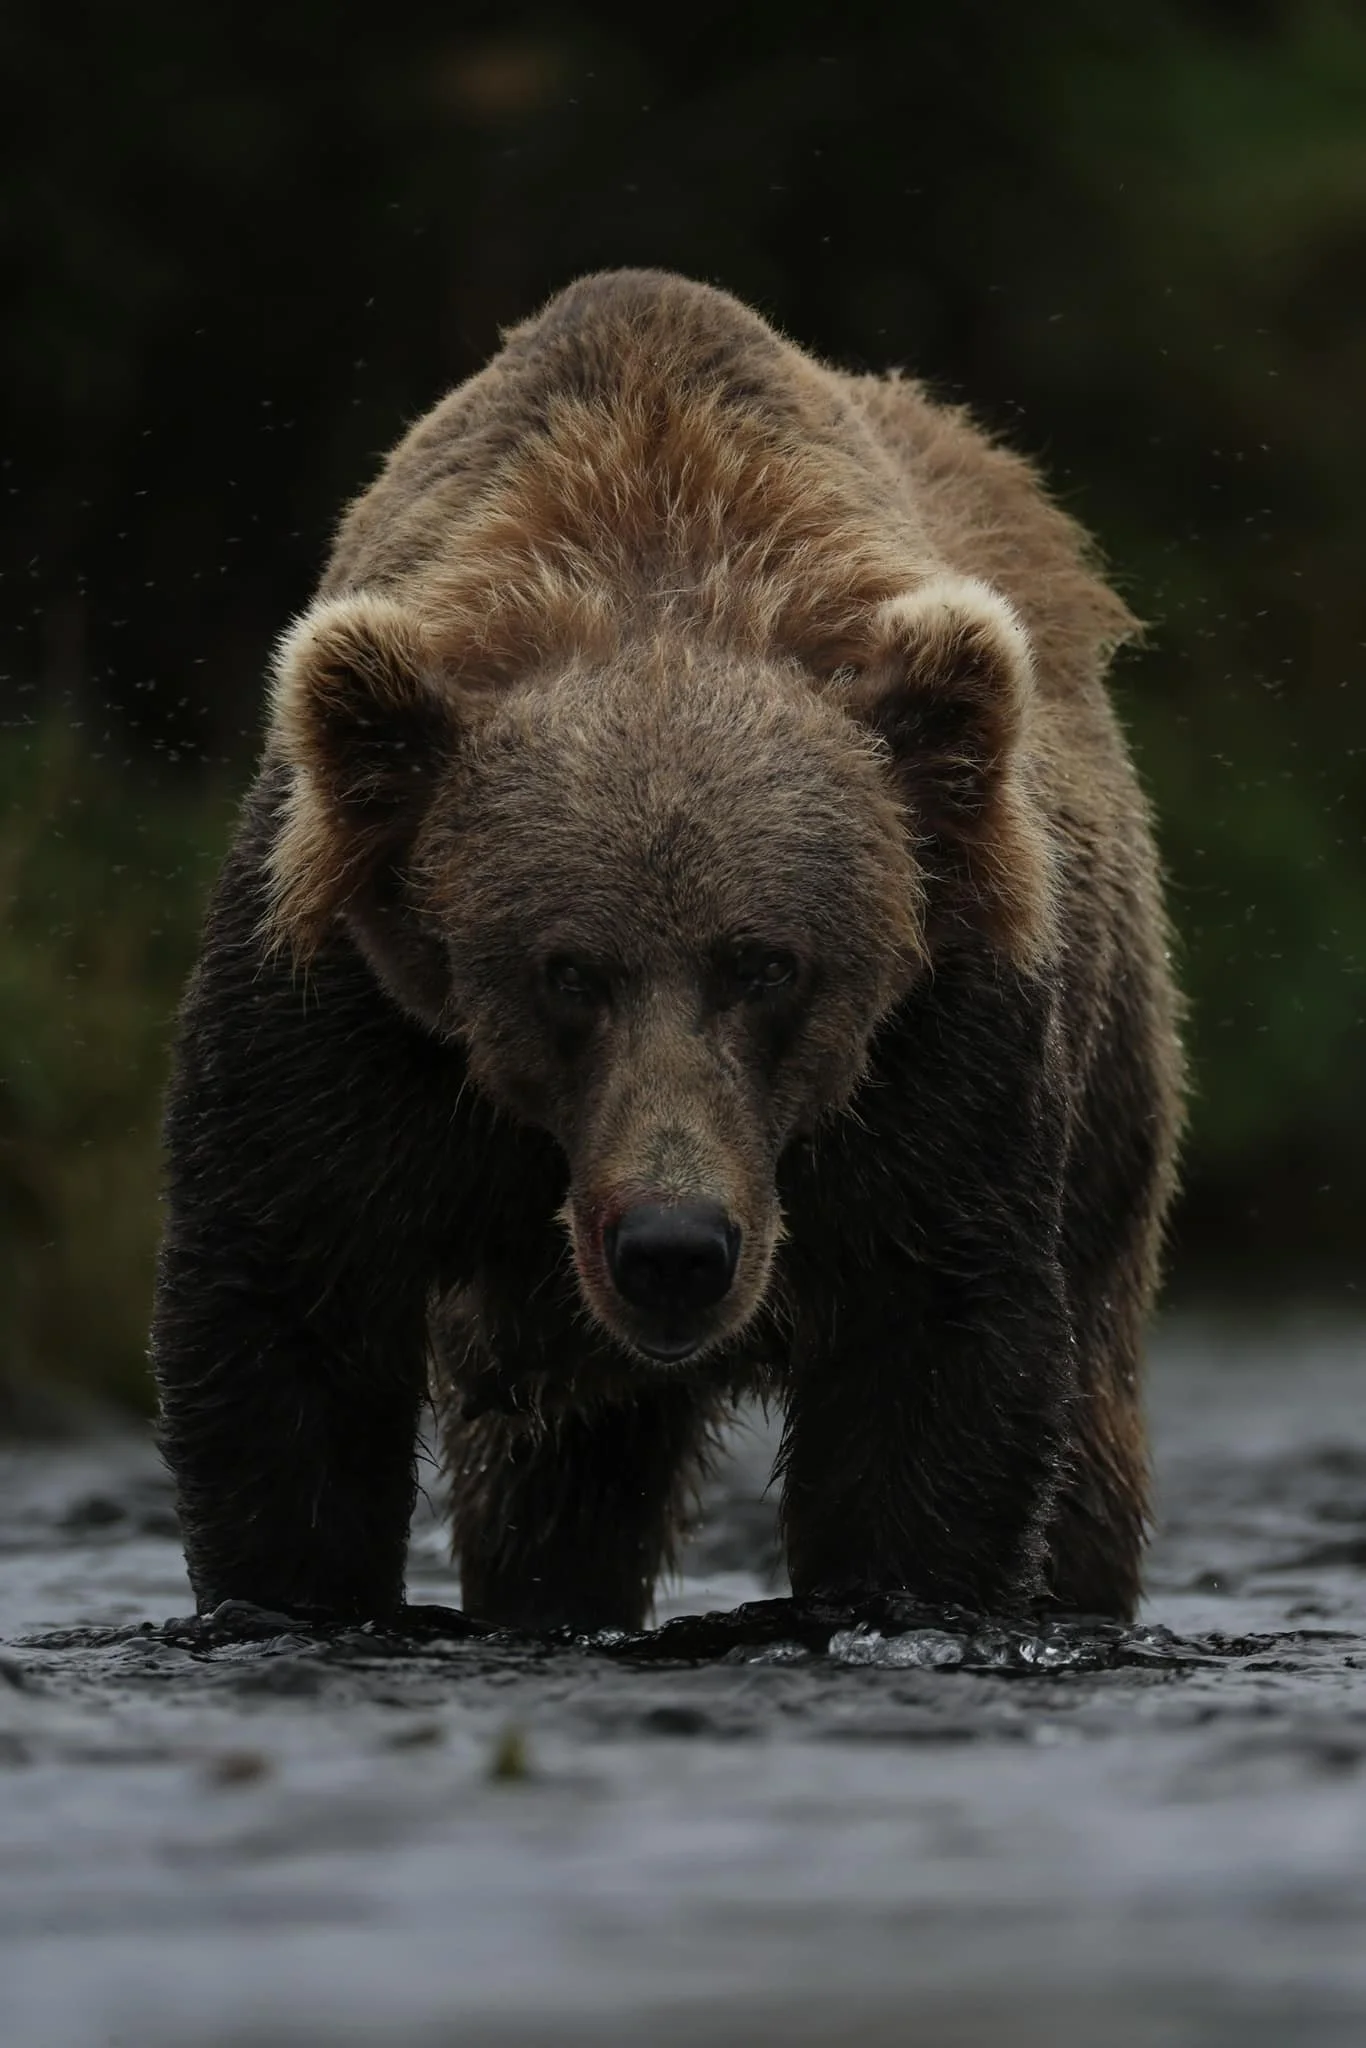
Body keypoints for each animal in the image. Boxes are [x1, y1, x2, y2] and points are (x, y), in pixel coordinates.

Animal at [152, 268, 1183, 1634]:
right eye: (565, 970)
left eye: (768, 962)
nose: (674, 1247)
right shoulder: (348, 1025)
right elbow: (283, 1323)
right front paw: (292, 1593)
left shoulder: (941, 1049)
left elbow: (935, 1364)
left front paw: (901, 1589)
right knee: (553, 1473)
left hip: (1110, 1118)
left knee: (1092, 1429)